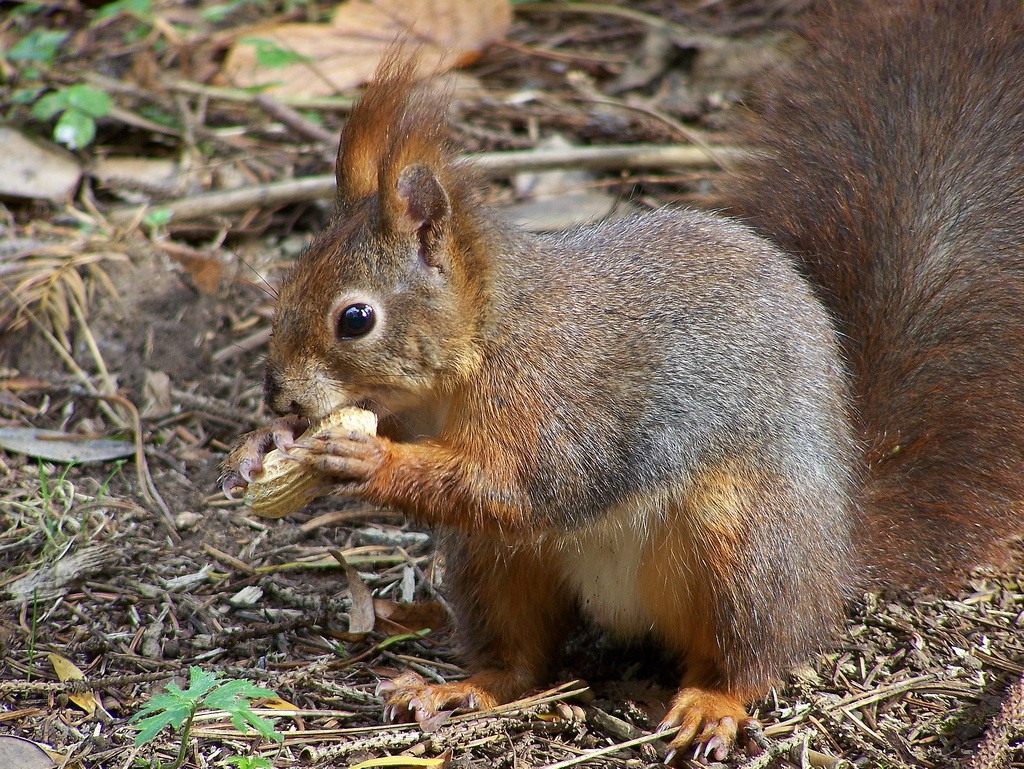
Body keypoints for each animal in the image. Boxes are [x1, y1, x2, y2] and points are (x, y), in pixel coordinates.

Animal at [220, 0, 1024, 757]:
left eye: (355, 318)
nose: (278, 395)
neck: (483, 342)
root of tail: (837, 548)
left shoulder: (559, 400)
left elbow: (525, 484)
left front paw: (364, 457)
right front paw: (261, 447)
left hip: (746, 544)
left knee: (751, 655)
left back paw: (712, 703)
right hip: (496, 562)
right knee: (522, 658)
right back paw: (464, 687)